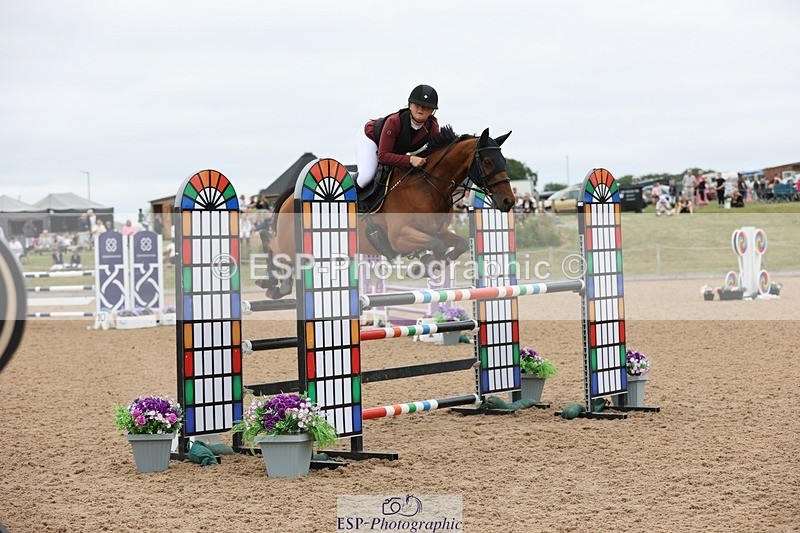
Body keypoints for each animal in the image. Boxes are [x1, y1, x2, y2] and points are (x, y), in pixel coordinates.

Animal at [257, 126, 516, 299]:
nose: (508, 201)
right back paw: (272, 283)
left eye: (504, 159)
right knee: (273, 246)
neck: (429, 186)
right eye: (488, 162)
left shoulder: (440, 231)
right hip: (291, 244)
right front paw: (422, 265)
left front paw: (427, 264)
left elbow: (457, 244)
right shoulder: (400, 238)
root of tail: (293, 193)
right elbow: (436, 245)